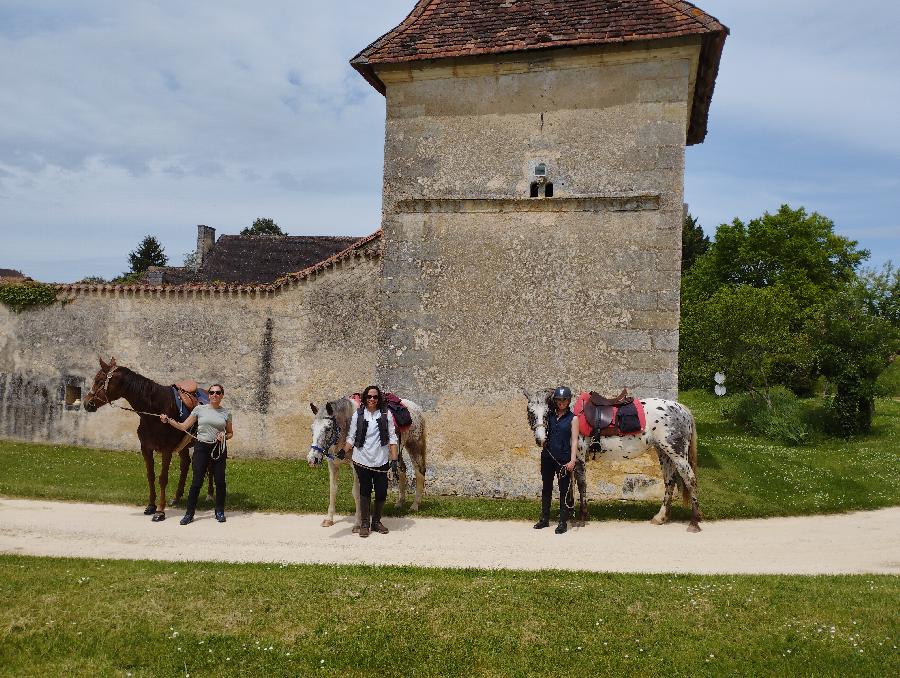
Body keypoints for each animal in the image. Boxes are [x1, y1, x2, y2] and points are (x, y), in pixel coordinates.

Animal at [81, 358, 207, 524]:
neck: (155, 412)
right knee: (185, 464)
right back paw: (177, 497)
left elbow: (162, 479)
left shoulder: (167, 450)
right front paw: (151, 506)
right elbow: (150, 475)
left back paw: (211, 495)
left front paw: (160, 511)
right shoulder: (146, 448)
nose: (87, 403)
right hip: (183, 446)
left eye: (100, 381)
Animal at [306, 398, 426, 532]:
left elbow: (356, 492)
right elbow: (333, 490)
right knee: (402, 471)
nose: (312, 459)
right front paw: (329, 519)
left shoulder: (356, 467)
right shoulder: (332, 465)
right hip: (397, 451)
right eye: (312, 429)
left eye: (327, 428)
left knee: (419, 472)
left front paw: (357, 524)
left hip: (414, 446)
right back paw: (399, 503)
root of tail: (416, 408)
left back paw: (415, 505)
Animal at [520, 390, 704, 532]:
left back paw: (694, 522)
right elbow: (570, 486)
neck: (572, 418)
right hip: (664, 452)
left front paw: (582, 517)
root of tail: (682, 410)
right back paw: (660, 517)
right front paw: (570, 514)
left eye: (546, 413)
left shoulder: (578, 459)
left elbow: (581, 485)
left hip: (677, 454)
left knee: (690, 480)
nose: (541, 439)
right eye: (530, 412)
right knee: (669, 481)